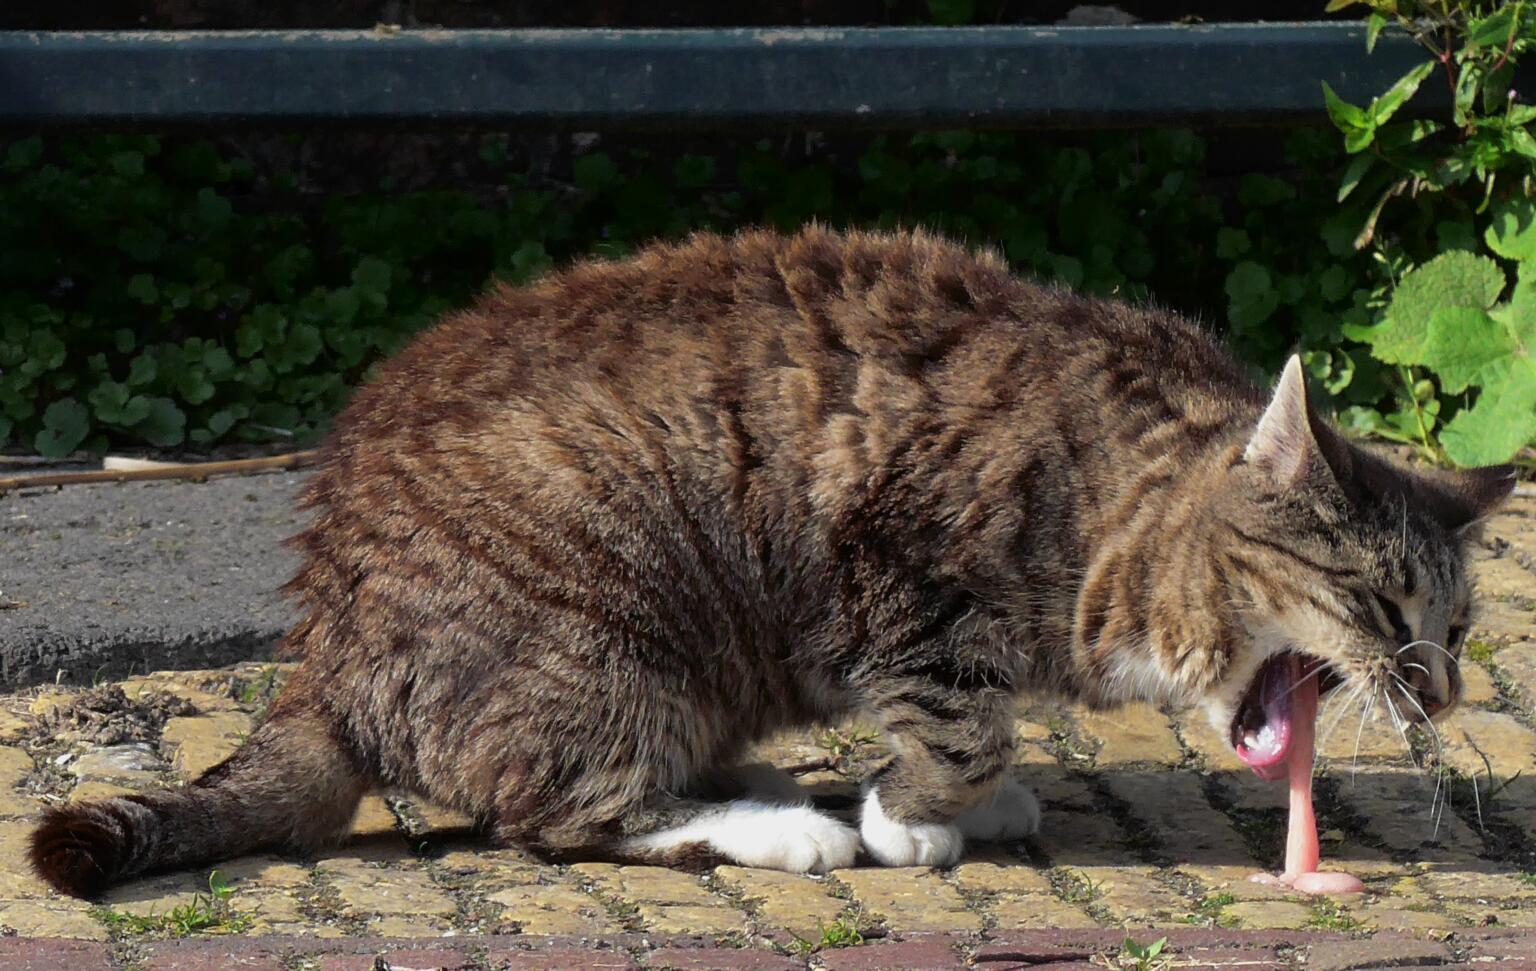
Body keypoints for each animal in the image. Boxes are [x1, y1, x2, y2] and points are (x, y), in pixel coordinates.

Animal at [24, 227, 1511, 897]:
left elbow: (979, 722)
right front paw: (915, 814)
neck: (1113, 507)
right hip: (611, 627)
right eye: (1384, 604)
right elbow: (960, 719)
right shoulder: (897, 567)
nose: (1436, 690)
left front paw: (967, 797)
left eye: (1458, 627)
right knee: (555, 810)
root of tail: (324, 650)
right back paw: (782, 820)